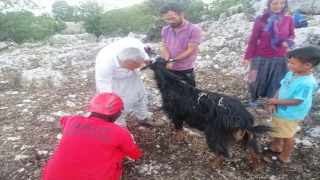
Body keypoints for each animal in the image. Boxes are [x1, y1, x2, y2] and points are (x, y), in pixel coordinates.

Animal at [142, 57, 272, 170]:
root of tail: (244, 119)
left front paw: (176, 139)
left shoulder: (175, 114)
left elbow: (178, 128)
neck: (170, 83)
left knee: (224, 152)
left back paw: (211, 164)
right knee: (252, 149)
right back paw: (256, 166)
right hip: (244, 133)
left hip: (215, 132)